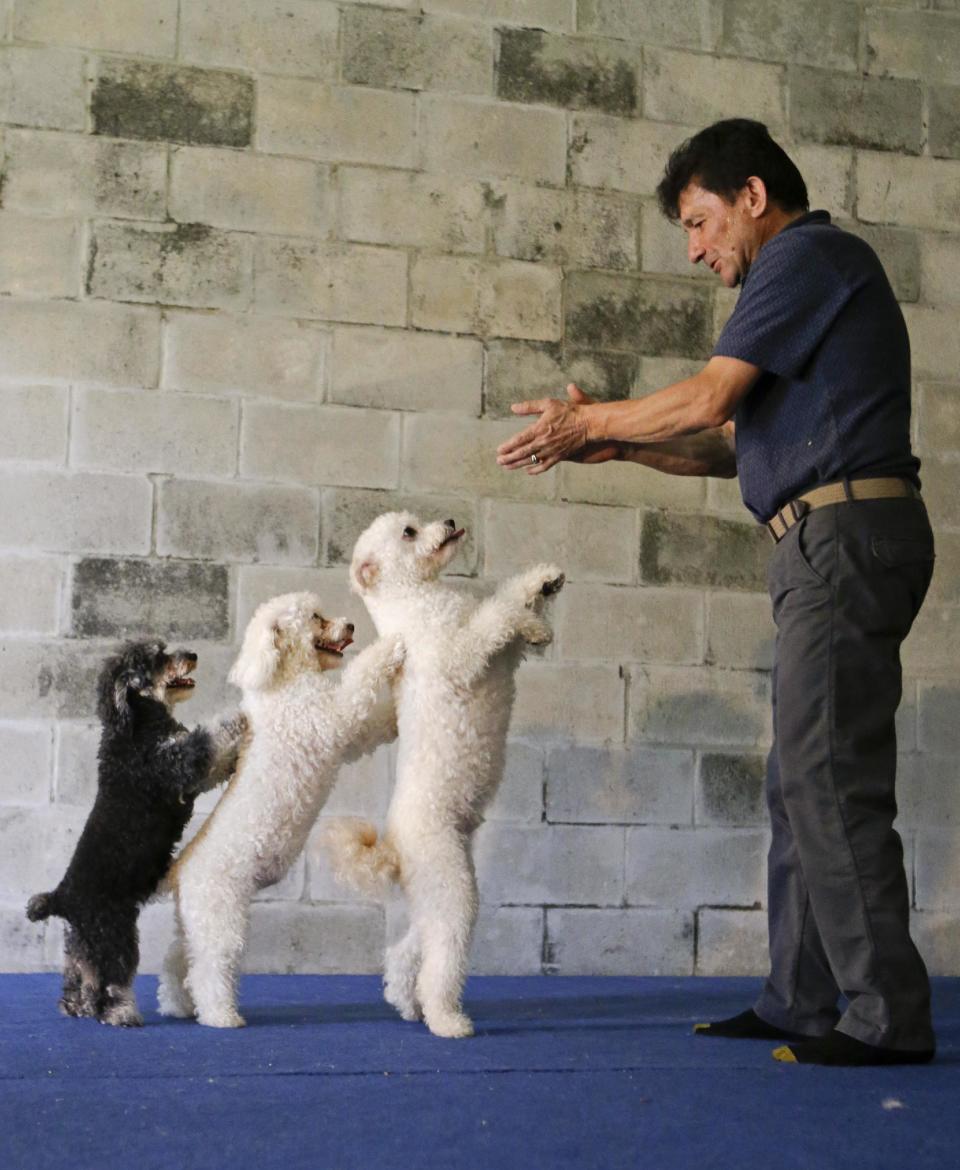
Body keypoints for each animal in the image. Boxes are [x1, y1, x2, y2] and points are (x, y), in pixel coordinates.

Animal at [26, 645, 245, 1029]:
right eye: (156, 658)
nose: (192, 654)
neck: (135, 724)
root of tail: (62, 897)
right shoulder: (180, 763)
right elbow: (208, 738)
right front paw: (237, 716)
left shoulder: (188, 774)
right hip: (116, 932)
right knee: (114, 980)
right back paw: (122, 1014)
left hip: (82, 941)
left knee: (78, 975)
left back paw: (77, 1007)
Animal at [325, 514, 561, 1043]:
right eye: (409, 533)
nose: (451, 522)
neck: (417, 603)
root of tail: (392, 847)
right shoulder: (460, 655)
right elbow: (496, 616)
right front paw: (531, 619)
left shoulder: (500, 657)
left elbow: (509, 602)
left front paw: (542, 585)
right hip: (451, 885)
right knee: (441, 962)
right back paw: (447, 1020)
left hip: (434, 892)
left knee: (408, 952)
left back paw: (405, 1002)